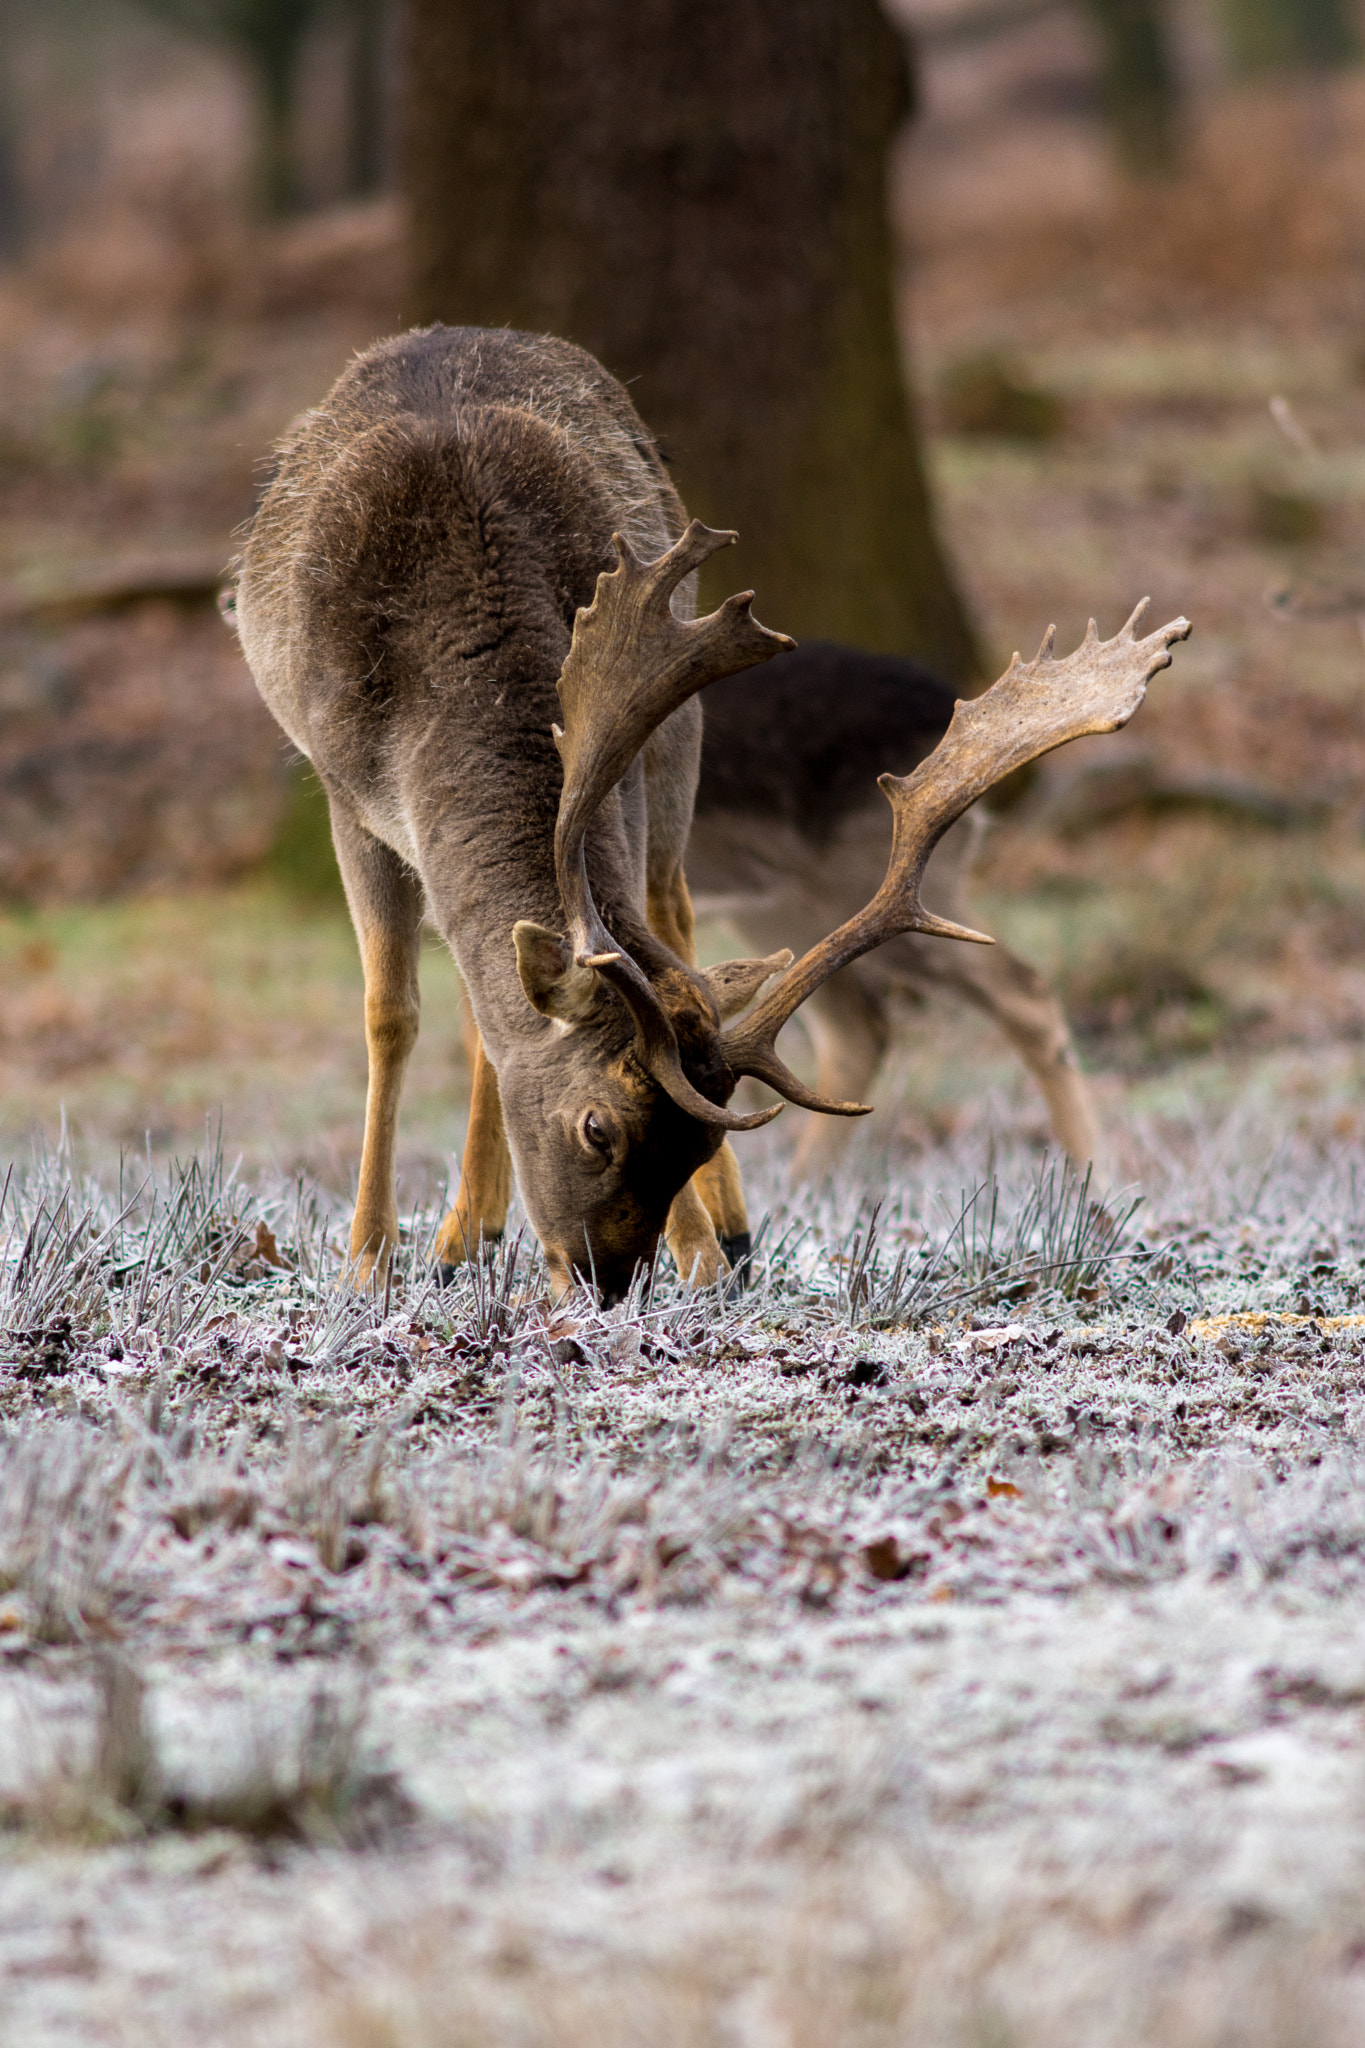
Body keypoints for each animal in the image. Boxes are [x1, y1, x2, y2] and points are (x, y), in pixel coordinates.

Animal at [229, 327, 1186, 1302]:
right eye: (597, 1128)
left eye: (698, 1143)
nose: (606, 1281)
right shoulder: (343, 787)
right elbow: (393, 1015)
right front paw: (367, 1261)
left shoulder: (637, 772)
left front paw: (699, 1250)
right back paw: (470, 1232)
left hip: (696, 758)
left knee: (711, 935)